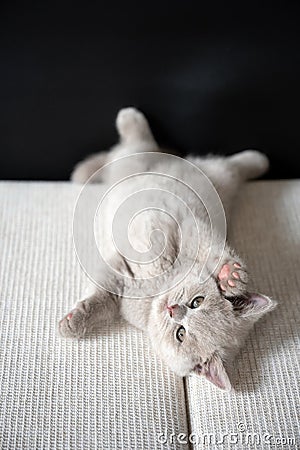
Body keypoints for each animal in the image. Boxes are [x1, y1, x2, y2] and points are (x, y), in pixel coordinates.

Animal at [58, 107, 276, 388]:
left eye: (180, 333)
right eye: (197, 301)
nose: (173, 310)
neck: (154, 290)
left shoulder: (119, 283)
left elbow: (101, 303)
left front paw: (73, 322)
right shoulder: (190, 231)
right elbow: (211, 249)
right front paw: (230, 276)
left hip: (144, 165)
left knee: (128, 149)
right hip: (201, 174)